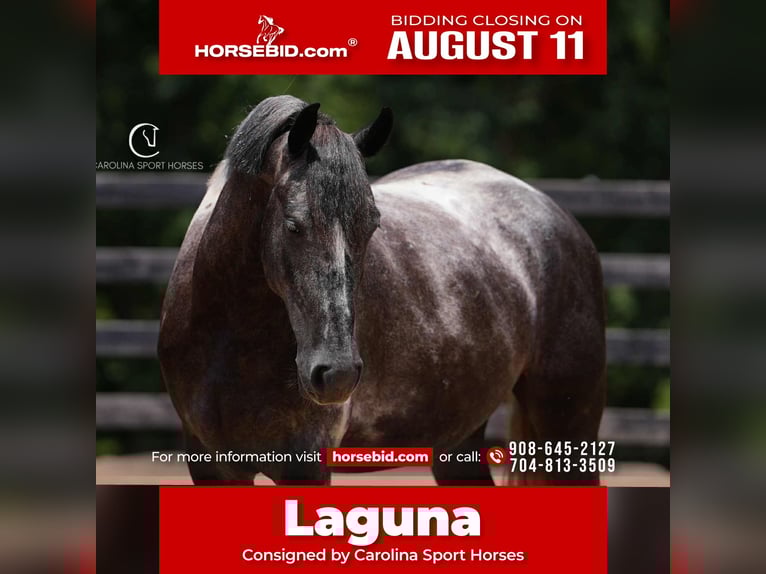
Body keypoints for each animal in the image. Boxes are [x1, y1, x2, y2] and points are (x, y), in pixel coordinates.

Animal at [158, 95, 606, 486]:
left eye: (372, 225)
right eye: (293, 225)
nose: (336, 373)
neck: (231, 340)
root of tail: (553, 213)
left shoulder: (305, 466)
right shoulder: (211, 466)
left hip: (569, 428)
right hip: (457, 442)